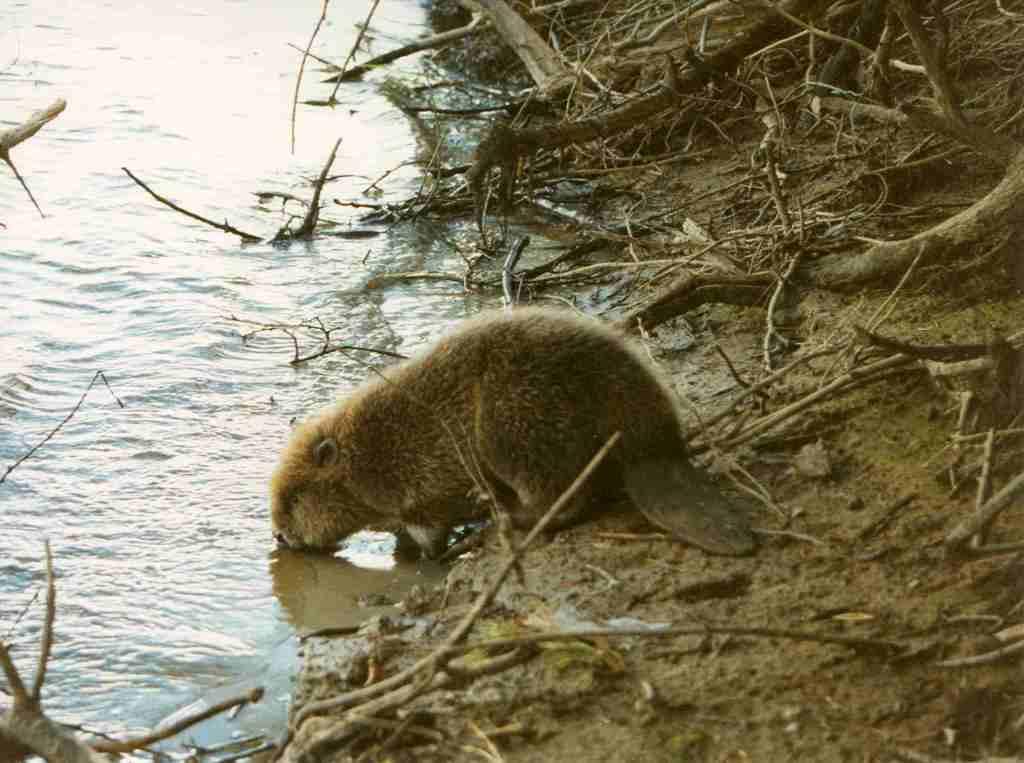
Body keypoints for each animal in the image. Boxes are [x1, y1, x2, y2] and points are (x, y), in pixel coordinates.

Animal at [268, 305, 757, 561]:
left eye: (293, 499)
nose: (279, 537)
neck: (359, 453)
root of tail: (657, 448)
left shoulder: (413, 483)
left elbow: (428, 528)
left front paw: (430, 552)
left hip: (511, 426)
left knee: (561, 498)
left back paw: (505, 519)